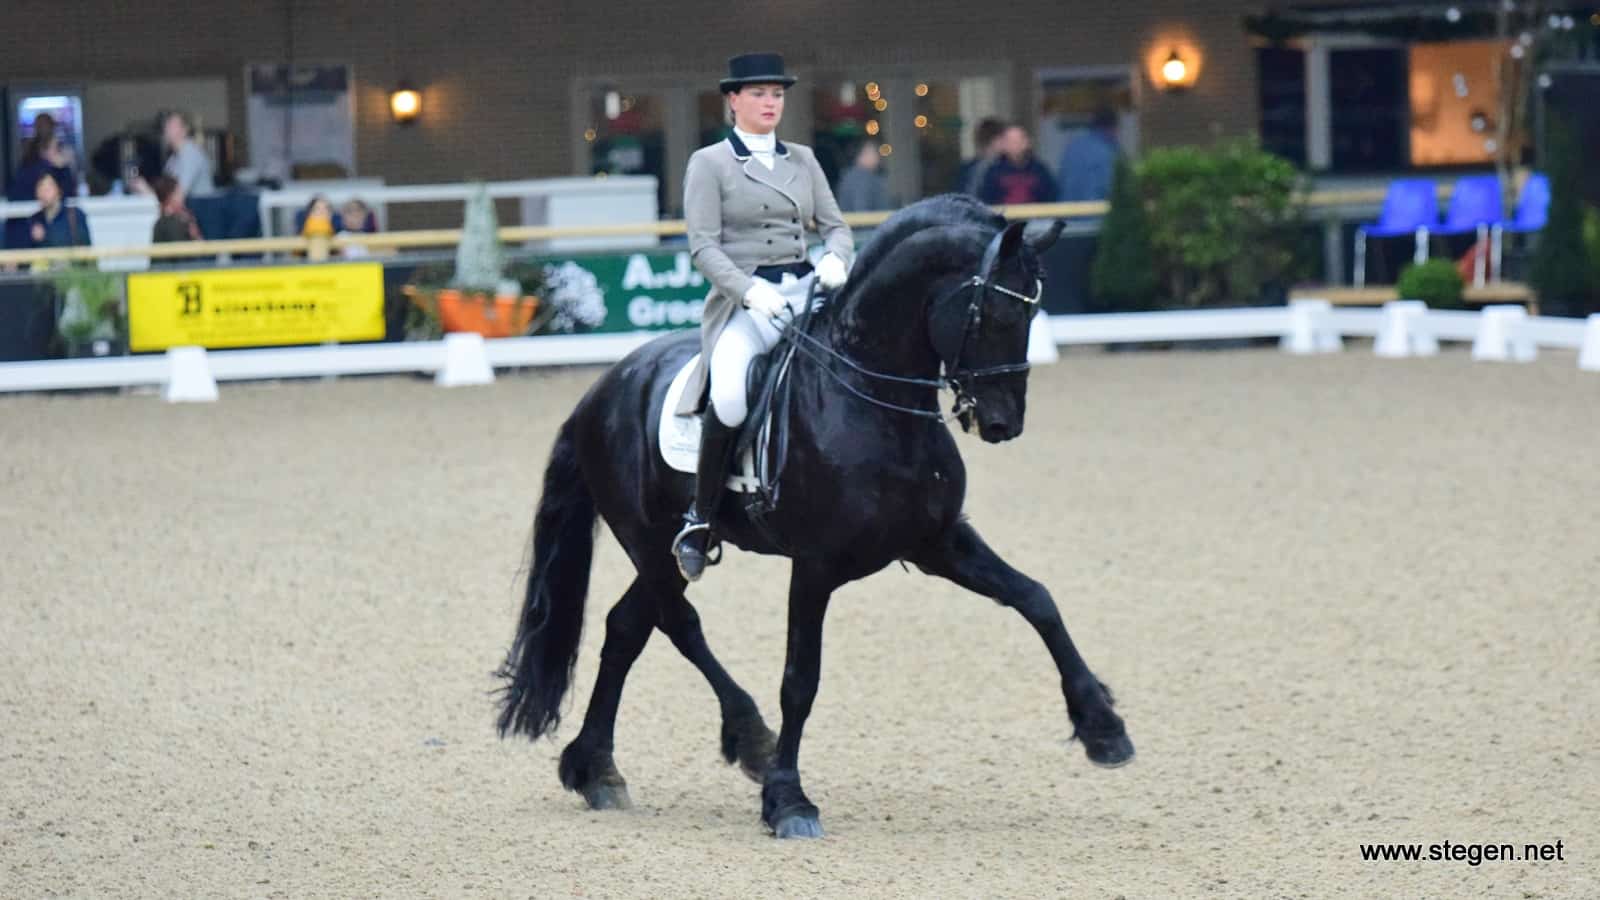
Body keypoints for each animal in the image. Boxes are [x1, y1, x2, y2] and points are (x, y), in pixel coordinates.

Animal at [492, 192, 1132, 839]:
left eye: (1033, 314)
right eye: (994, 314)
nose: (1003, 423)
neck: (872, 402)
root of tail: (602, 389)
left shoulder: (938, 541)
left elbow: (1036, 599)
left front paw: (1103, 728)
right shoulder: (816, 564)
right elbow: (800, 679)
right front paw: (788, 801)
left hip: (663, 549)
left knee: (628, 627)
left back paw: (597, 769)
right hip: (650, 540)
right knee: (678, 623)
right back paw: (745, 738)